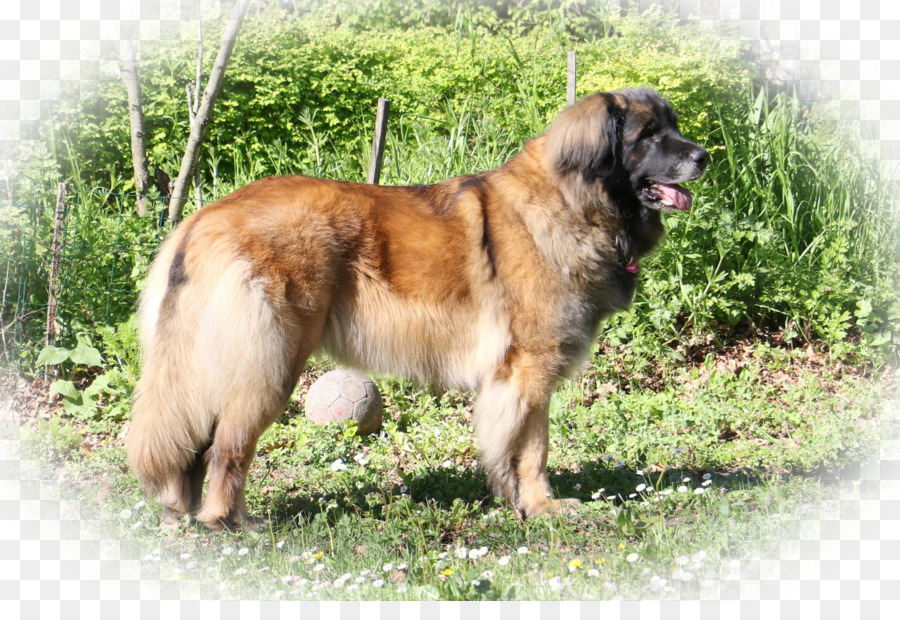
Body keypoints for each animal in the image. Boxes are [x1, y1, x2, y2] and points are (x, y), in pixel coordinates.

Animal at [126, 89, 712, 532]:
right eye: (647, 136)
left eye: (673, 126)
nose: (705, 156)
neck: (572, 200)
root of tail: (206, 218)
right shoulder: (529, 367)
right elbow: (532, 449)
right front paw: (539, 506)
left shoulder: (528, 375)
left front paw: (526, 503)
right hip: (270, 363)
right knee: (228, 448)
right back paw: (230, 525)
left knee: (197, 445)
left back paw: (190, 515)